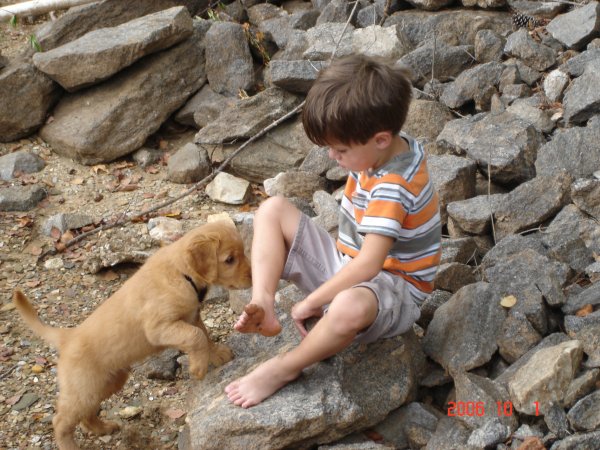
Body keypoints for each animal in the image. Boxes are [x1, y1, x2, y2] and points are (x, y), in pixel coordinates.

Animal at [12, 221, 251, 450]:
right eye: (230, 259)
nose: (251, 277)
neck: (181, 272)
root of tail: (67, 337)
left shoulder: (192, 316)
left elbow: (204, 335)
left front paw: (217, 354)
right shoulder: (158, 327)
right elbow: (196, 336)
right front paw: (198, 369)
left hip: (108, 383)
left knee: (87, 415)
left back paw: (103, 428)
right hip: (82, 389)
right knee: (61, 421)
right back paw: (70, 446)